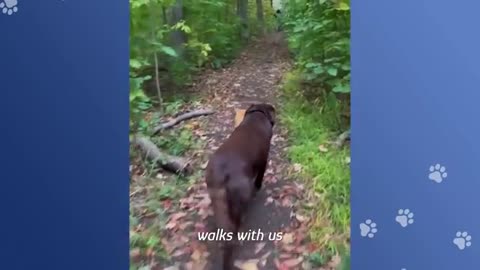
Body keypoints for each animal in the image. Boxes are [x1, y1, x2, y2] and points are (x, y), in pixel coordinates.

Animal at [204, 103, 276, 268]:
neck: (257, 116)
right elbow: (260, 178)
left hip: (217, 198)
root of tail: (224, 173)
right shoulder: (264, 161)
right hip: (240, 198)